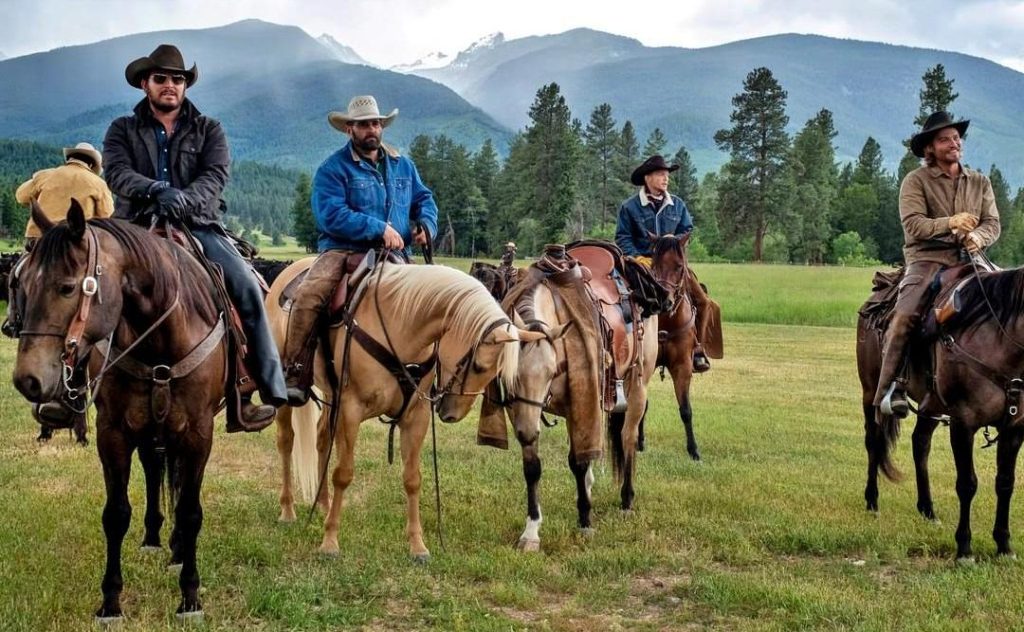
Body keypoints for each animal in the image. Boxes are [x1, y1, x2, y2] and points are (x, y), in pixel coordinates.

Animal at [856, 264, 1024, 561]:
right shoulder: (963, 423)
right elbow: (967, 484)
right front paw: (964, 548)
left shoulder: (1014, 428)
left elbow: (1005, 483)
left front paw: (1004, 545)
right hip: (870, 392)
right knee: (874, 442)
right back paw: (872, 501)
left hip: (929, 406)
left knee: (920, 444)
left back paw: (928, 509)